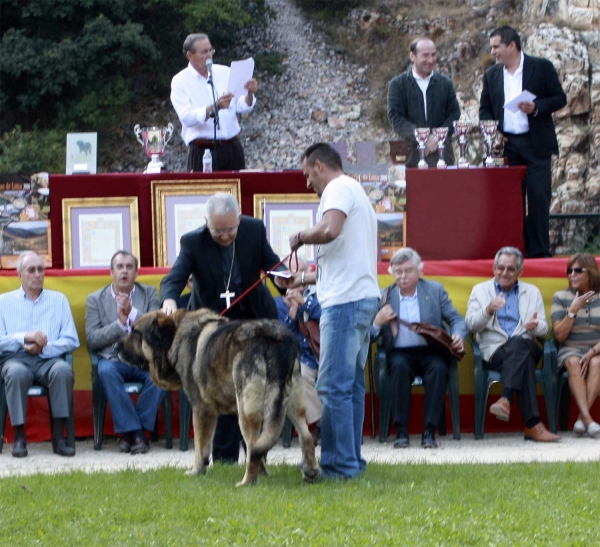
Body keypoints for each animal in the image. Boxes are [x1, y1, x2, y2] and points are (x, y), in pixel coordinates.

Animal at [119, 310, 322, 486]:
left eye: (135, 332)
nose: (115, 346)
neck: (176, 335)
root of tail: (275, 339)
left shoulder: (202, 410)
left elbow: (201, 446)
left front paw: (197, 471)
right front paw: (263, 472)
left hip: (247, 411)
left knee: (253, 447)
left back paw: (247, 482)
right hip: (290, 402)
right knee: (304, 436)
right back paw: (311, 472)